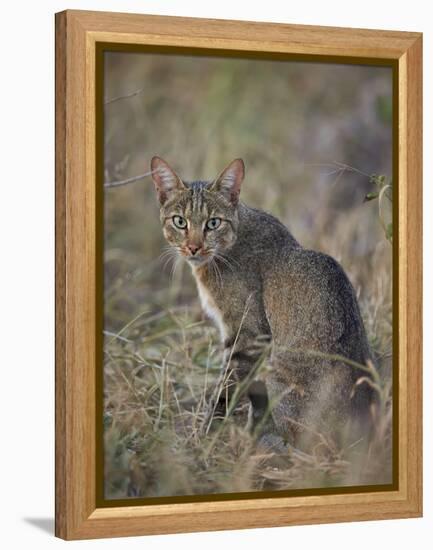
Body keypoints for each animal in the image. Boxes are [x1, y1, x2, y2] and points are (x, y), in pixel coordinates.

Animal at [150, 155, 372, 452]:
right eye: (179, 222)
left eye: (213, 223)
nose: (194, 247)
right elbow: (252, 398)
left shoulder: (248, 336)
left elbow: (225, 392)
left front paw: (207, 436)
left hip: (279, 374)